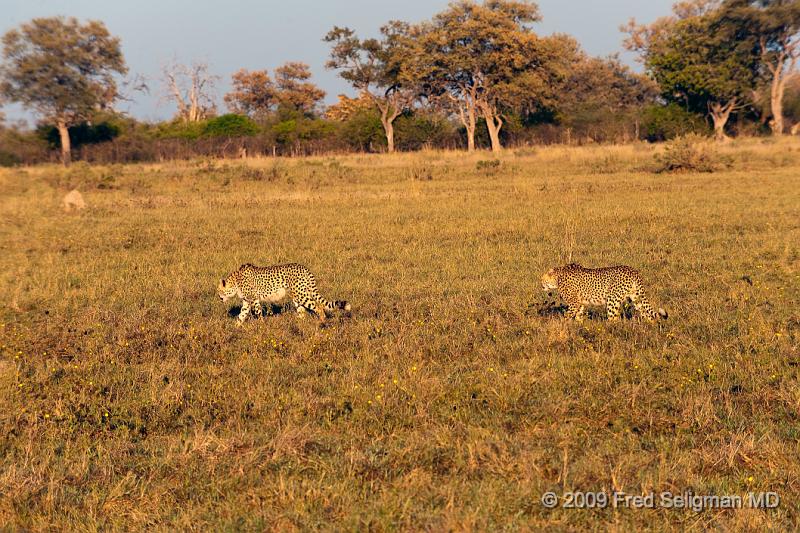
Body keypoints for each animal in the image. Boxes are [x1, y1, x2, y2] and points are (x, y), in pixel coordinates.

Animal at [216, 262, 350, 324]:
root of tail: (303, 267)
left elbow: (258, 313)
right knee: (302, 311)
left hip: (301, 295)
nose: (219, 298)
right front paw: (236, 327)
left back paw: (322, 322)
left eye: (219, 291)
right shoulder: (246, 301)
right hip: (298, 296)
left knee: (319, 306)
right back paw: (300, 324)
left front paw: (261, 325)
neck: (236, 281)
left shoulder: (253, 300)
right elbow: (241, 315)